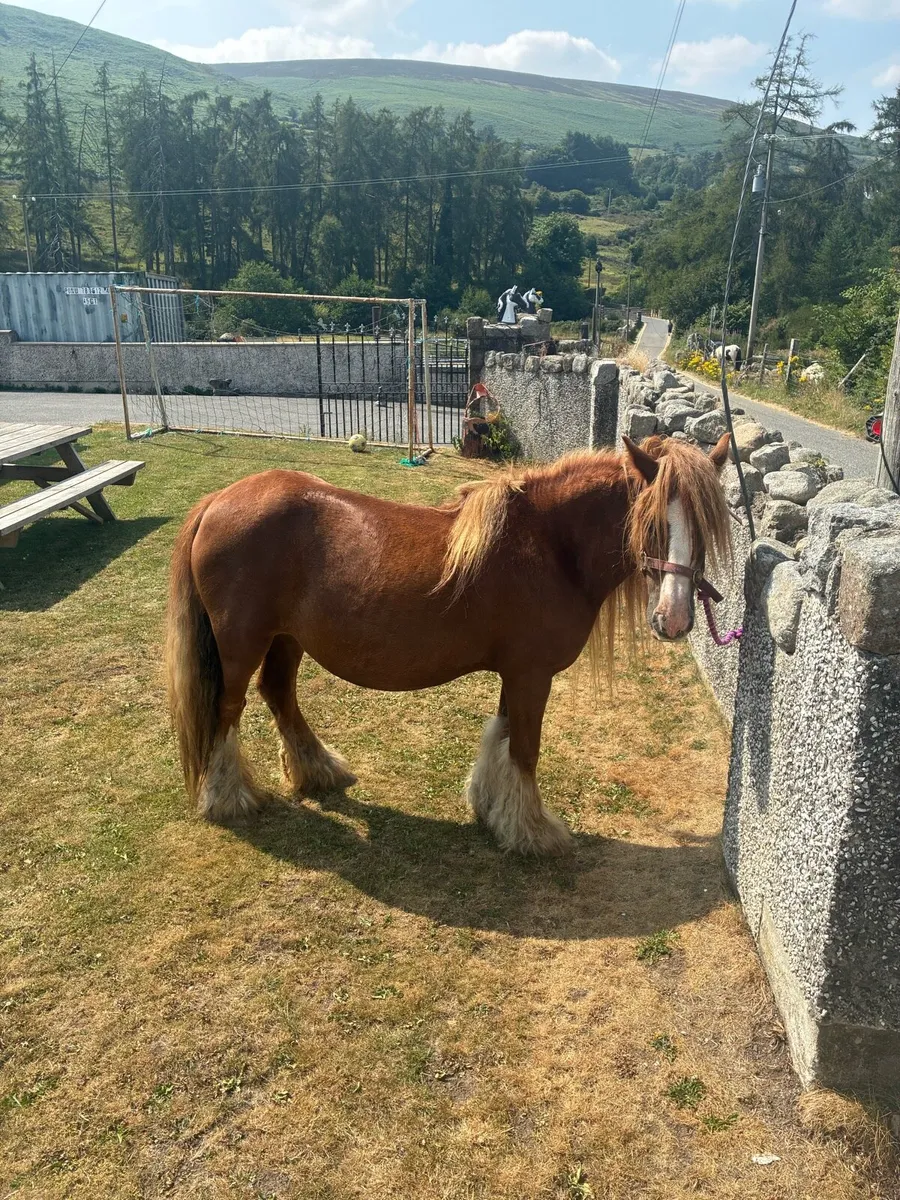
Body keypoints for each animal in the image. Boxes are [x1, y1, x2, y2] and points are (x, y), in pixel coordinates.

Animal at [166, 434, 732, 855]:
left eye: (706, 527)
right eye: (651, 523)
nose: (674, 620)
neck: (550, 545)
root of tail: (218, 501)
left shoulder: (517, 674)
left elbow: (502, 735)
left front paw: (491, 807)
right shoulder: (532, 675)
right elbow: (525, 748)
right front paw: (532, 831)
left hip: (286, 638)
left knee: (279, 694)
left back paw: (317, 770)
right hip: (242, 644)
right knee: (228, 709)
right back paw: (228, 798)